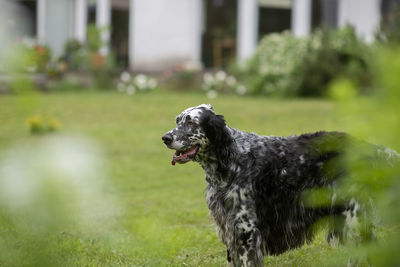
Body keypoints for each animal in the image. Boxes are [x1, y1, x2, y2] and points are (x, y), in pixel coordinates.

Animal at [162, 104, 396, 267]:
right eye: (178, 120)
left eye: (191, 123)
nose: (165, 138)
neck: (231, 161)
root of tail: (367, 148)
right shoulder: (229, 231)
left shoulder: (246, 231)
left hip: (352, 221)